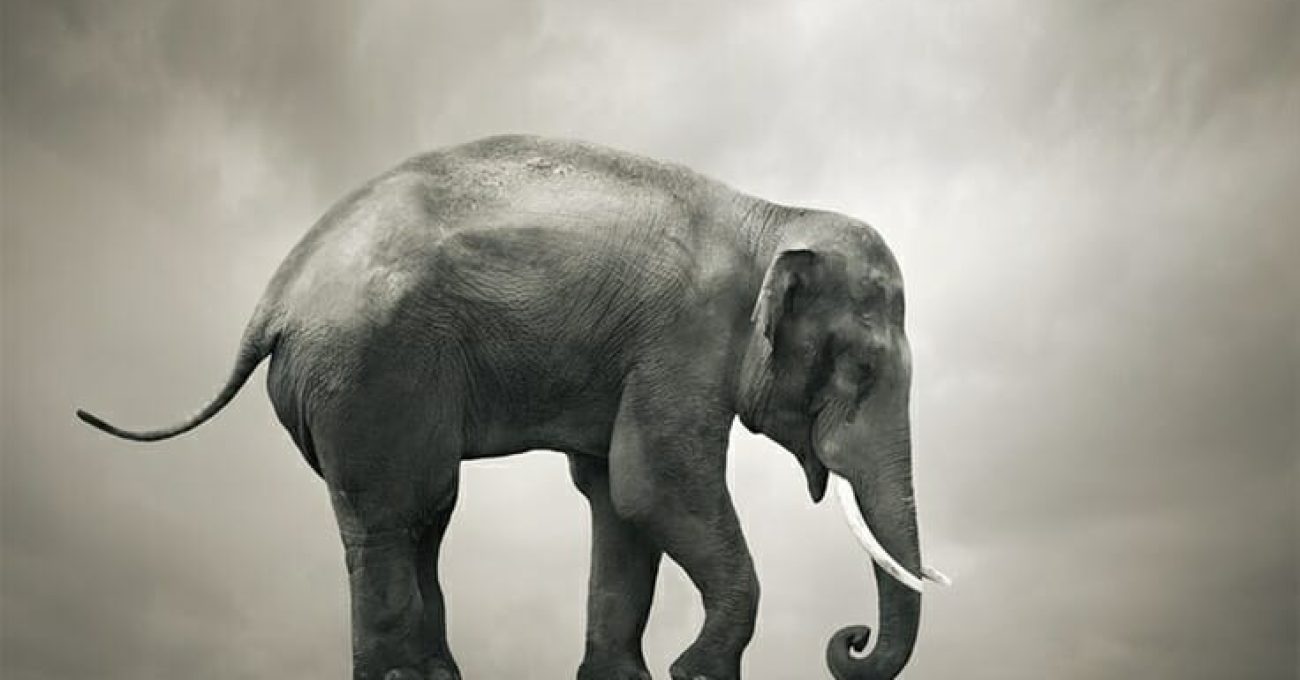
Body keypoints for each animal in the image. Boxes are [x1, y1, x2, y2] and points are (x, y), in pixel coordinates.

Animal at [78, 134, 947, 680]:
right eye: (861, 369)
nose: (850, 641)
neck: (774, 216)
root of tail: (275, 296)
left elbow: (617, 497)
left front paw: (623, 679)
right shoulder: (686, 339)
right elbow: (656, 485)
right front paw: (699, 674)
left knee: (420, 516)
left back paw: (435, 673)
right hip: (370, 372)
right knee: (401, 508)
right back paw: (406, 676)